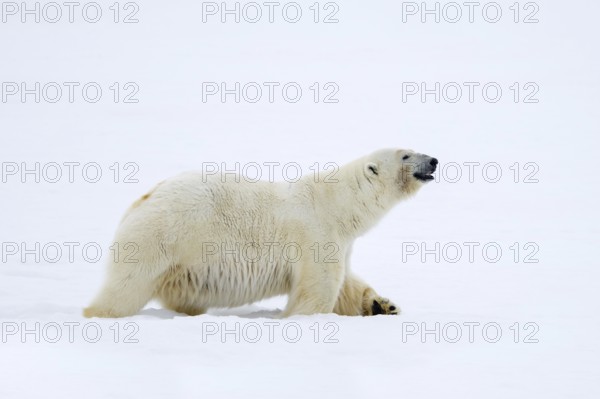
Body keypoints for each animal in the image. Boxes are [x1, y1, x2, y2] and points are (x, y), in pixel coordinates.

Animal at [83, 149, 436, 318]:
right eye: (405, 154)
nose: (433, 160)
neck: (337, 203)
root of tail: (142, 200)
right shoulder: (316, 233)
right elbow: (318, 288)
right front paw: (299, 318)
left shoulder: (340, 242)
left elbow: (347, 284)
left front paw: (383, 305)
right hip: (161, 238)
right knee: (126, 287)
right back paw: (98, 313)